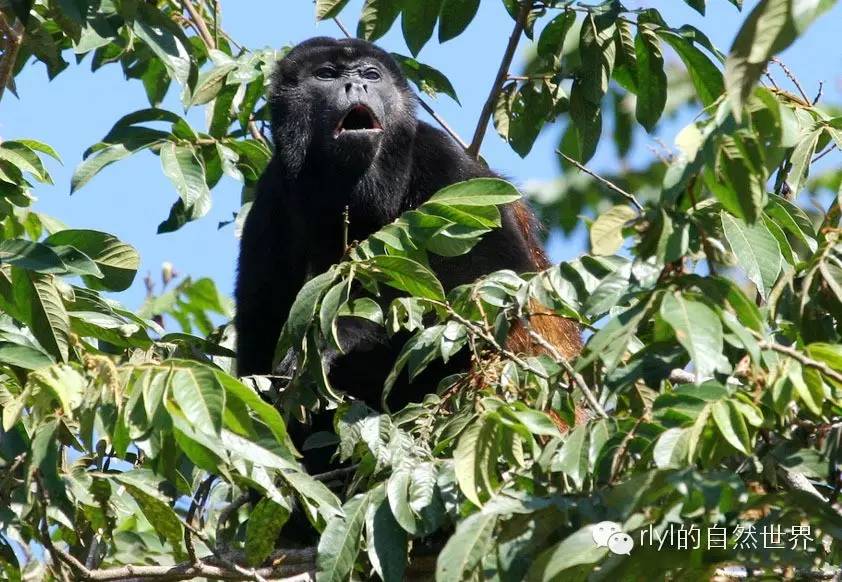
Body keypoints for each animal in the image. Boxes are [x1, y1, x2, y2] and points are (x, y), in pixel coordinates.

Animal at [236, 40, 576, 424]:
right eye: (326, 74)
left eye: (372, 74)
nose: (356, 85)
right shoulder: (270, 198)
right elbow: (257, 330)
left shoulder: (443, 160)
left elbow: (497, 273)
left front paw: (339, 335)